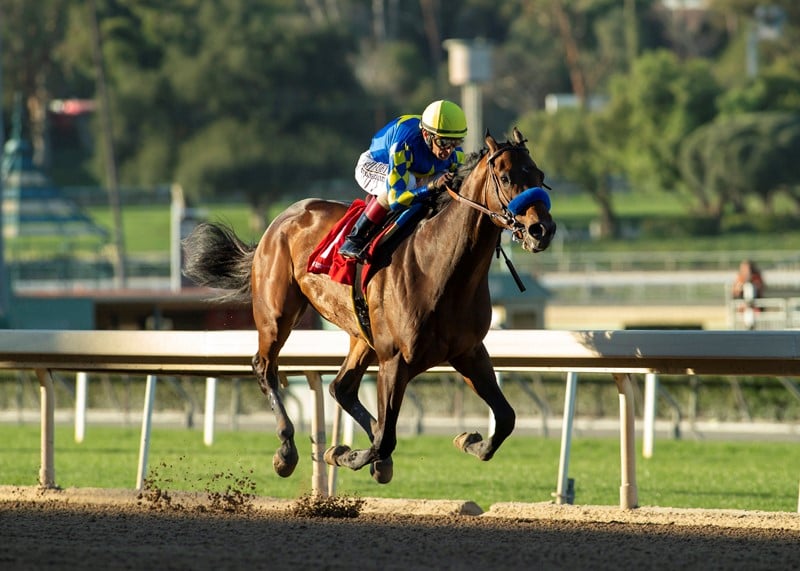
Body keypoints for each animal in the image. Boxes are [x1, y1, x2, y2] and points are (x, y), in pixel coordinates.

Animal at [181, 128, 556, 482]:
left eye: (538, 174)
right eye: (505, 177)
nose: (542, 229)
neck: (441, 266)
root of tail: (282, 219)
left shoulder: (469, 352)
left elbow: (506, 418)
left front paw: (470, 442)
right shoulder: (395, 360)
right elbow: (385, 439)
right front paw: (344, 454)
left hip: (362, 334)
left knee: (341, 388)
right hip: (277, 313)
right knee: (265, 367)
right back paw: (286, 450)